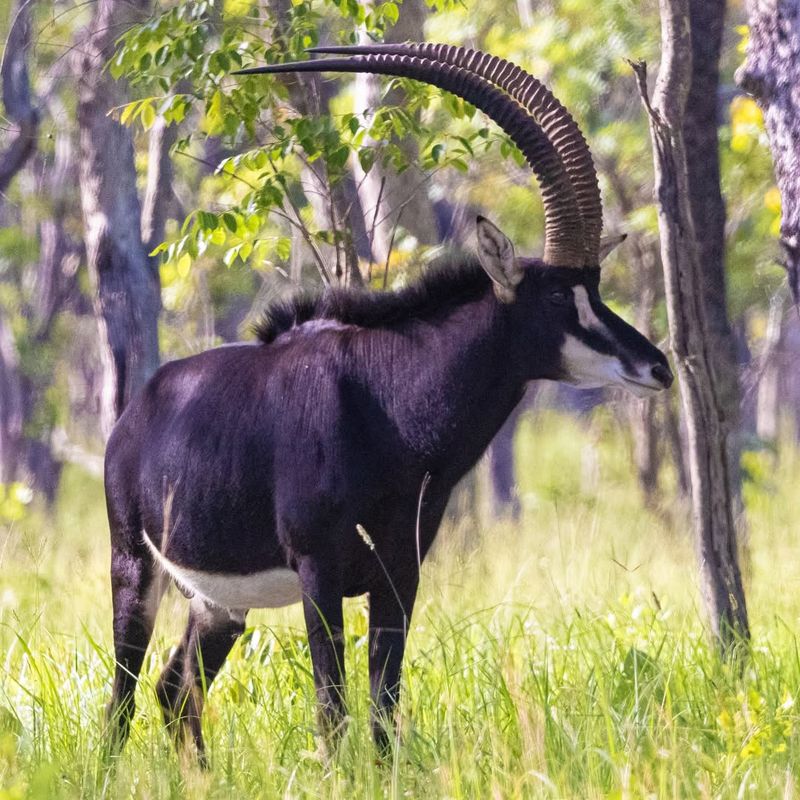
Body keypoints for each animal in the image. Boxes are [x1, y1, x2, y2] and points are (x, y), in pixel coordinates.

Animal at [103, 42, 672, 756]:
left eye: (595, 288)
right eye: (553, 296)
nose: (658, 367)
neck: (388, 405)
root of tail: (134, 415)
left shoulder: (400, 575)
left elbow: (382, 712)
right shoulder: (318, 572)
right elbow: (333, 710)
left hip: (217, 602)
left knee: (176, 690)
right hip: (134, 569)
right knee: (122, 700)